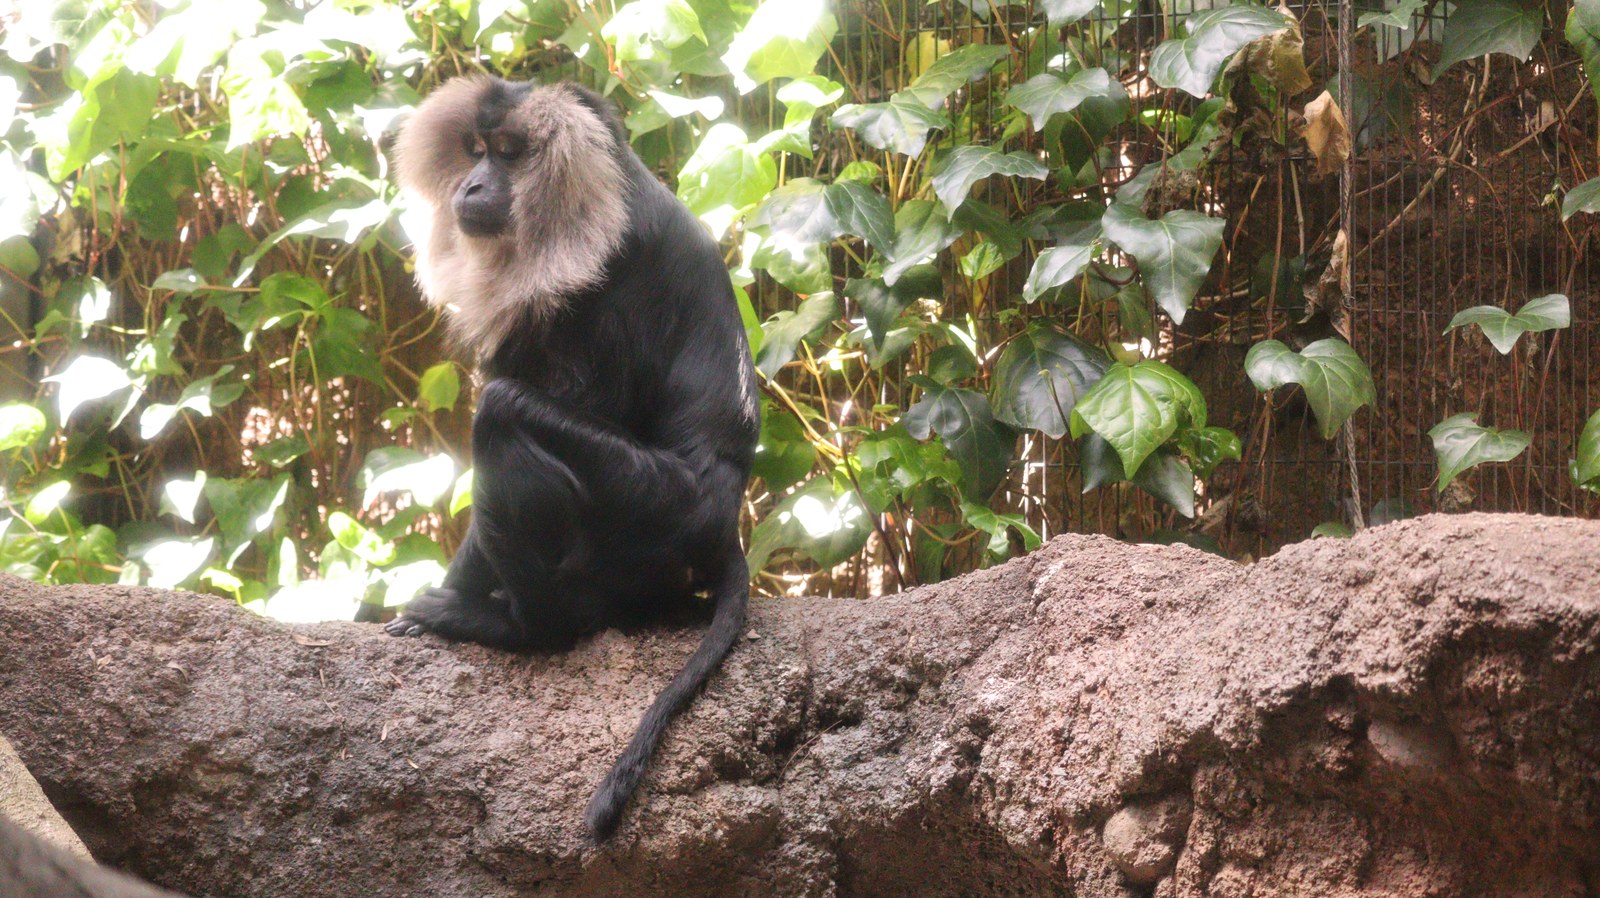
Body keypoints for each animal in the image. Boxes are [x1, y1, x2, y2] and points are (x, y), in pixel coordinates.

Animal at [386, 76, 759, 842]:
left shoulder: (595, 289)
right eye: (474, 149)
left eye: (507, 154)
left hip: (654, 510)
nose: (471, 184)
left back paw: (523, 628)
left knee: (503, 411)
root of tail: (722, 518)